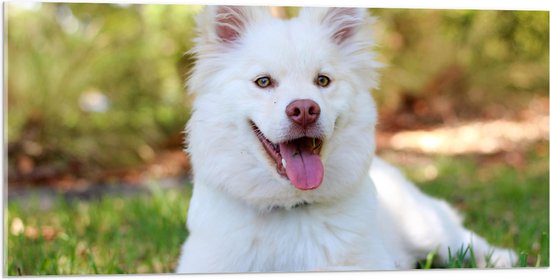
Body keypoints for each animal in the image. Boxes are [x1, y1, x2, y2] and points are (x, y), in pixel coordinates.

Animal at [176, 5, 516, 272]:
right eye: (263, 82)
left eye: (323, 80)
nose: (304, 110)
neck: (290, 207)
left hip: (427, 229)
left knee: (465, 241)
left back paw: (503, 259)